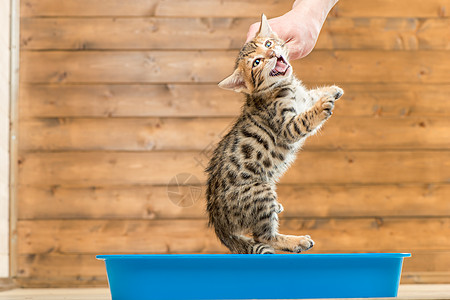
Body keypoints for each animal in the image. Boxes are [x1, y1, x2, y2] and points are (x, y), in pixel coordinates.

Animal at [206, 14, 342, 253]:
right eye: (256, 62)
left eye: (268, 44)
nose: (271, 54)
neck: (285, 85)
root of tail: (219, 223)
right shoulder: (287, 127)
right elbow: (306, 118)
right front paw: (323, 105)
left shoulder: (302, 98)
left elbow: (310, 95)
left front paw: (331, 90)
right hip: (261, 191)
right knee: (263, 236)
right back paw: (297, 241)